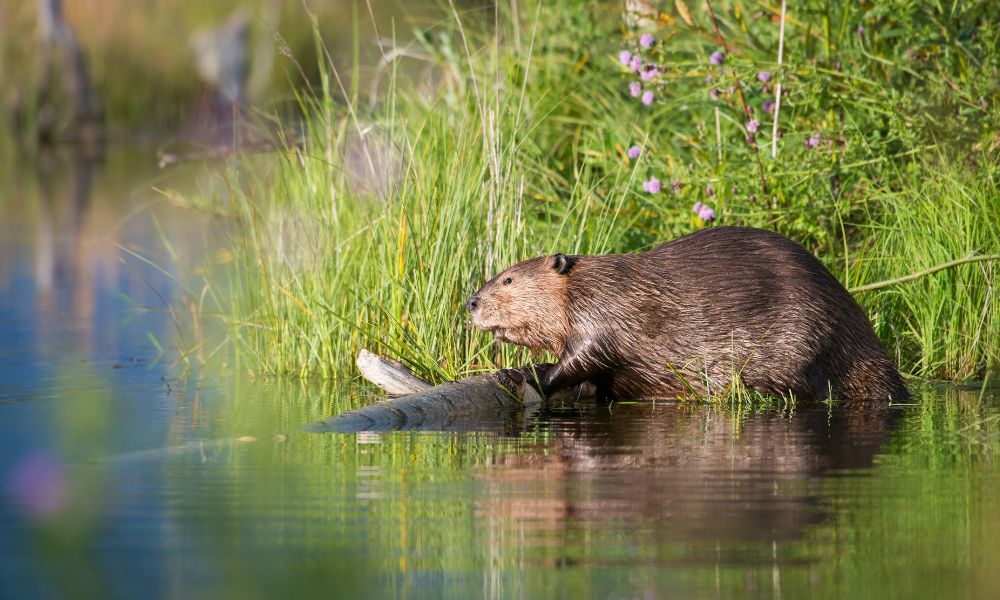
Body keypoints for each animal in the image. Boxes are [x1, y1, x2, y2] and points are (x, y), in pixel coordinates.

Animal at [464, 227, 912, 400]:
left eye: (507, 279)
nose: (471, 302)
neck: (589, 283)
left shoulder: (606, 310)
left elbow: (587, 354)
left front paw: (527, 373)